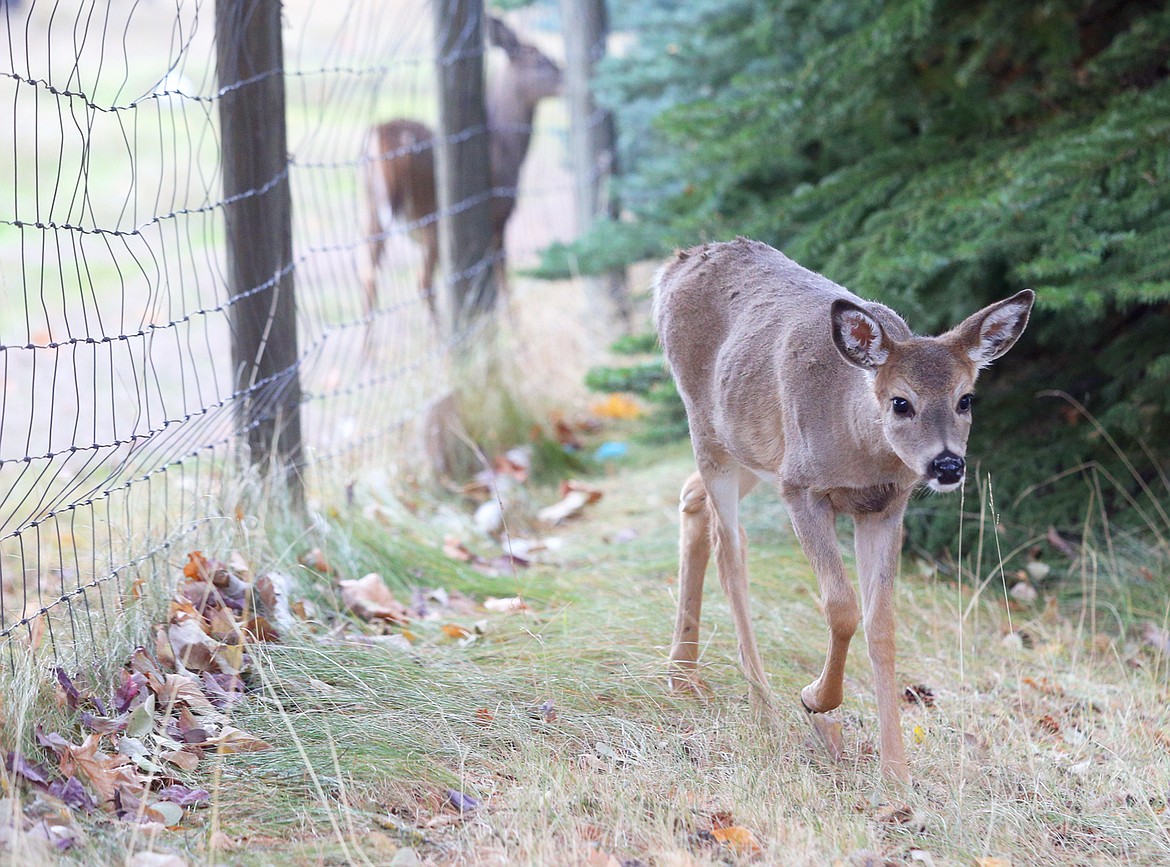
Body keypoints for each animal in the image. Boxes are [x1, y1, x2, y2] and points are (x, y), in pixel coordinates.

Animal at [361, 16, 563, 326]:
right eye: (541, 60)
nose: (568, 80)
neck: (504, 147)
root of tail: (380, 134)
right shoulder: (499, 216)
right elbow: (503, 279)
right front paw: (516, 331)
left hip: (372, 210)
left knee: (369, 279)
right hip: (431, 214)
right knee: (423, 282)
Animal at [654, 238, 1033, 783]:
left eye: (966, 399)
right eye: (901, 402)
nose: (946, 465)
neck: (858, 447)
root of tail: (677, 263)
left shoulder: (885, 507)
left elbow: (882, 624)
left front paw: (896, 771)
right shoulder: (801, 488)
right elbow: (841, 607)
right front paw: (816, 698)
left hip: (751, 451)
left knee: (692, 498)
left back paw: (682, 674)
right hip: (709, 431)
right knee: (731, 554)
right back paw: (763, 709)